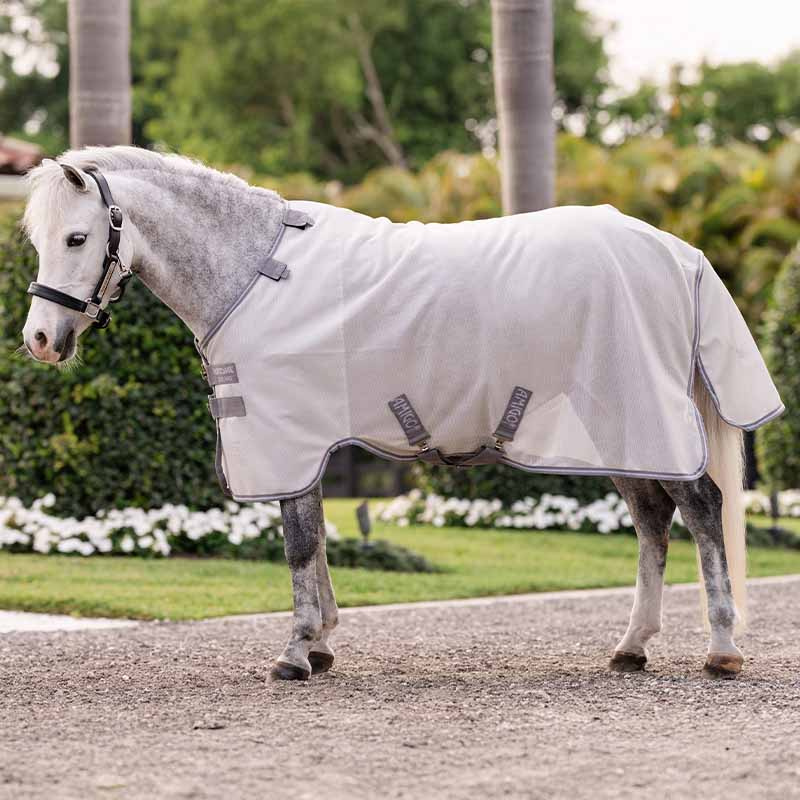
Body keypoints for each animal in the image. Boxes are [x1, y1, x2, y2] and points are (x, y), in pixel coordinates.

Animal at [20, 146, 783, 681]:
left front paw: (296, 652)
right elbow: (317, 541)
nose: (39, 340)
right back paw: (631, 647)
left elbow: (298, 544)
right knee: (654, 522)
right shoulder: (310, 444)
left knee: (702, 509)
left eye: (78, 238)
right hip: (620, 429)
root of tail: (678, 253)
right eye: (36, 239)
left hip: (641, 416)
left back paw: (721, 647)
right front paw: (322, 644)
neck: (254, 272)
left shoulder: (288, 439)